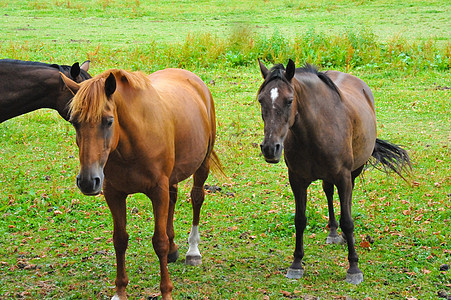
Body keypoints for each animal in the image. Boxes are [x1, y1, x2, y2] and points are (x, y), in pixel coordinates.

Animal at [60, 68, 222, 300]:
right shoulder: (114, 194)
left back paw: (193, 251)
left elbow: (159, 242)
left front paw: (166, 291)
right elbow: (120, 240)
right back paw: (174, 248)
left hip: (203, 163)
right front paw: (120, 291)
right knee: (174, 198)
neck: (130, 145)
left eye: (108, 121)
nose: (88, 181)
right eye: (74, 121)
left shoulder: (158, 191)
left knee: (197, 198)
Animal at [258, 59, 410, 284]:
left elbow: (348, 221)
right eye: (261, 100)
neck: (315, 130)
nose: (270, 148)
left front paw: (354, 268)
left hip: (353, 172)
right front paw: (296, 264)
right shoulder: (297, 180)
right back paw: (333, 232)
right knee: (329, 193)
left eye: (289, 100)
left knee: (347, 198)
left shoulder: (343, 177)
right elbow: (299, 220)